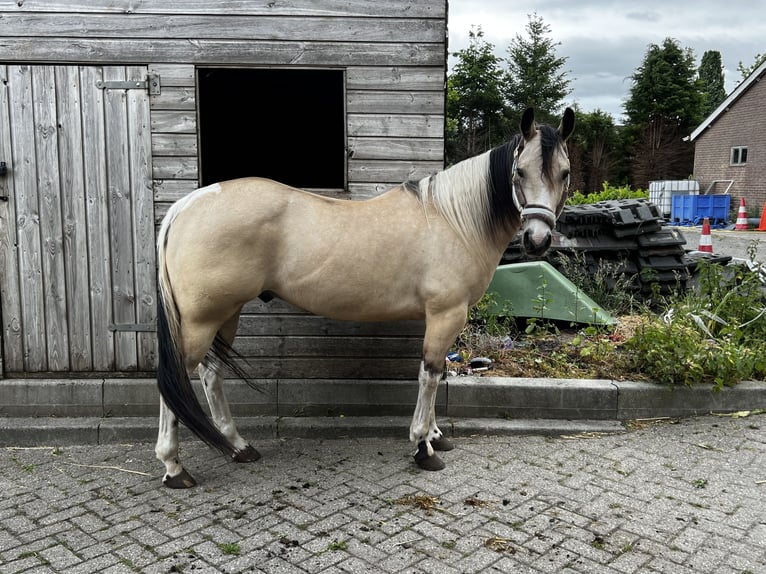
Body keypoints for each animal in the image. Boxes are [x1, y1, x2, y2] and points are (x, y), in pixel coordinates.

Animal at [154, 107, 575, 488]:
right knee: (176, 379)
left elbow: (435, 373)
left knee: (212, 373)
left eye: (564, 173)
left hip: (226, 314)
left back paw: (239, 447)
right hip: (203, 320)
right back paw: (174, 467)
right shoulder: (446, 314)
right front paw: (423, 447)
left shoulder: (442, 319)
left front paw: (436, 435)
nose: (537, 240)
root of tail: (187, 205)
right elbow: (430, 375)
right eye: (520, 172)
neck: (454, 220)